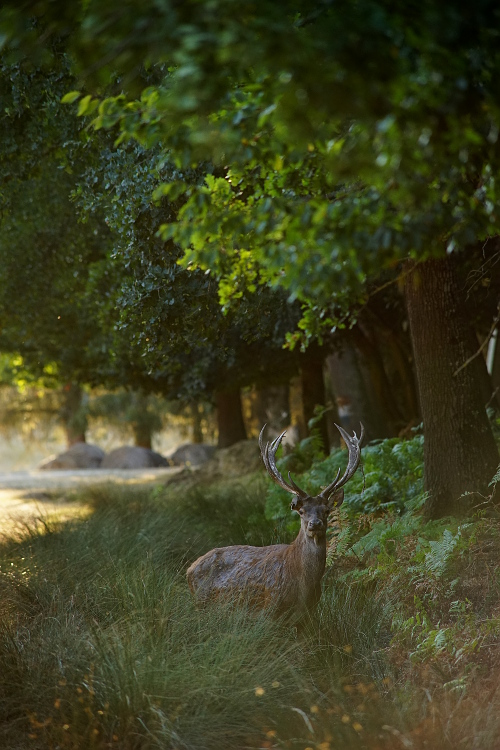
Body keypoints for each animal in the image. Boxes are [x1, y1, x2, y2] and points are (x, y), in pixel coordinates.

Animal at [185, 424, 364, 624]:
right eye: (301, 511)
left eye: (326, 511)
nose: (315, 523)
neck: (303, 587)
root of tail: (189, 569)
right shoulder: (269, 611)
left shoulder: (308, 616)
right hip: (202, 604)